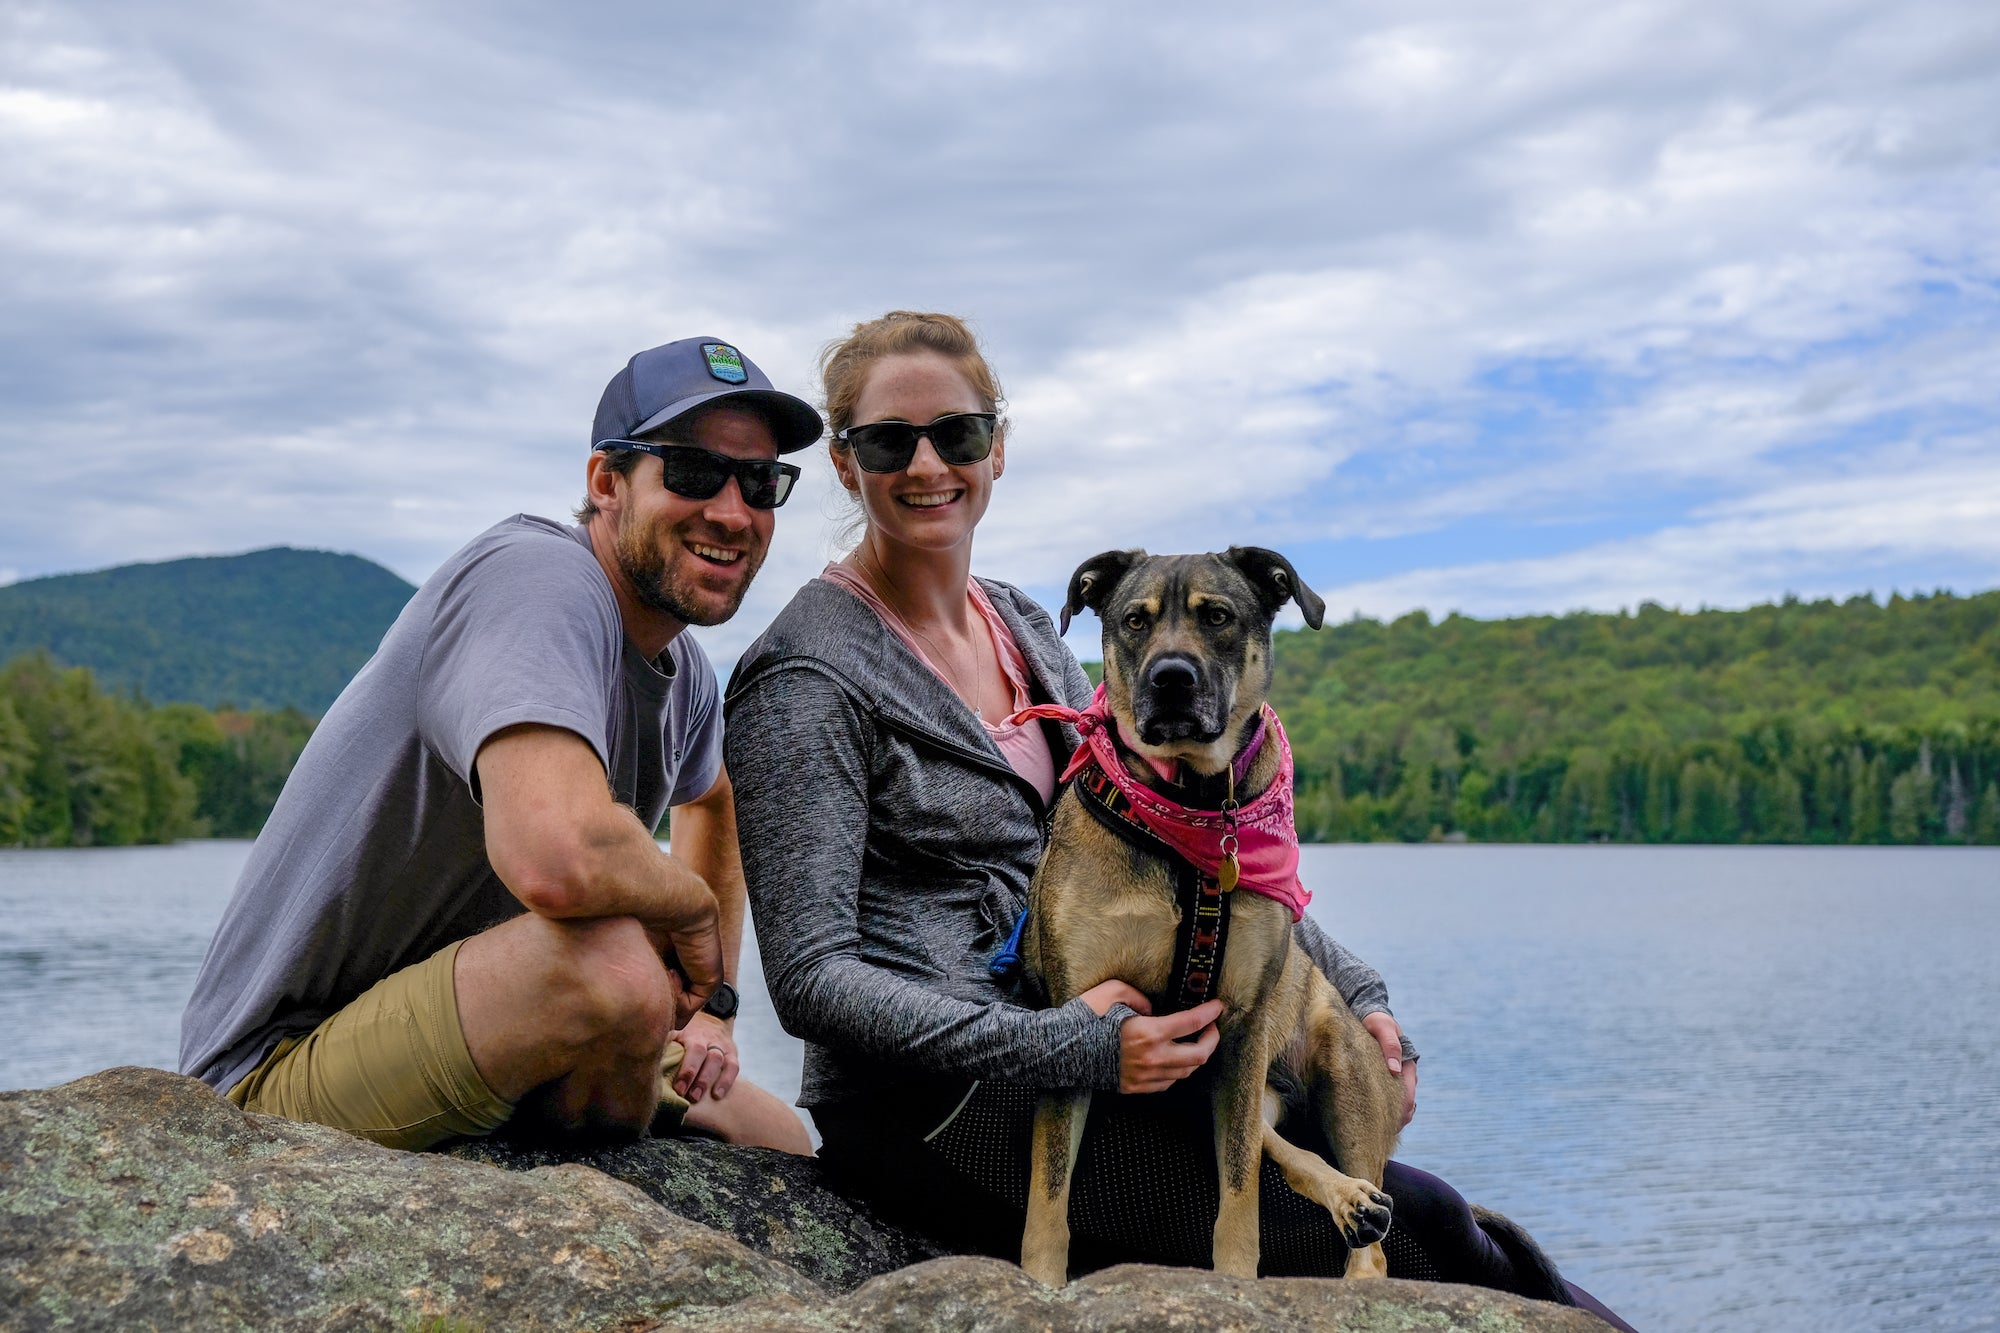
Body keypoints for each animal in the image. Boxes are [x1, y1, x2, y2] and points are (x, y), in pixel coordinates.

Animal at [1024, 544, 1400, 1280]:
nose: (1171, 677)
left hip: (1335, 1069)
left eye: (1218, 616)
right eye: (1135, 620)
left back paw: (1356, 1206)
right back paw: (1345, 1197)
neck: (1190, 802)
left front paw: (1234, 1280)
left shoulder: (1244, 1024)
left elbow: (1240, 1196)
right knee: (1281, 1148)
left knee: (1362, 1244)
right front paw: (1038, 1284)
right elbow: (1048, 1202)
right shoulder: (1075, 1021)